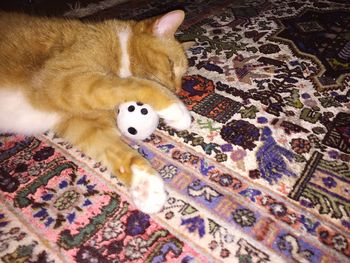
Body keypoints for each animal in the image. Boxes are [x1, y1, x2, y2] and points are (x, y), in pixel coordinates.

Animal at [0, 9, 191, 214]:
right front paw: (177, 110)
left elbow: (121, 153)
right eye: (170, 64)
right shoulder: (62, 80)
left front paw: (146, 187)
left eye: (182, 78)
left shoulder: (84, 125)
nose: (177, 90)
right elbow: (134, 85)